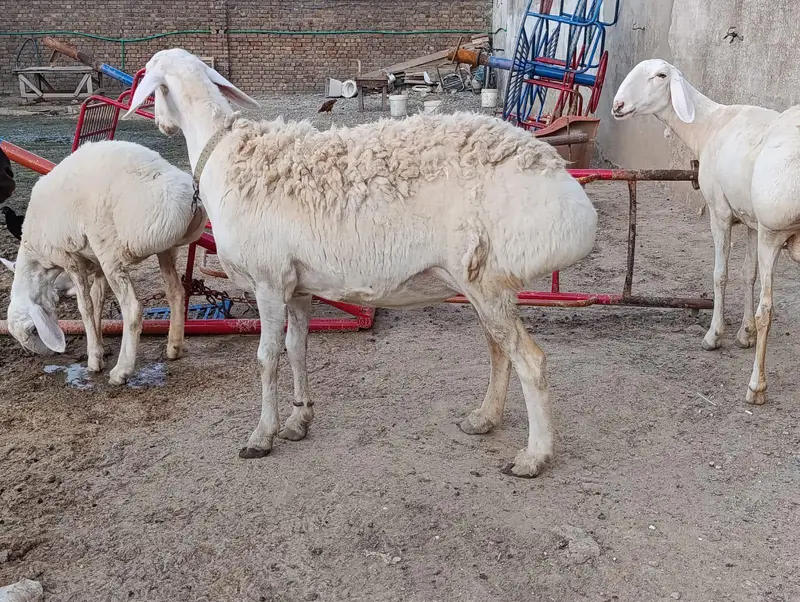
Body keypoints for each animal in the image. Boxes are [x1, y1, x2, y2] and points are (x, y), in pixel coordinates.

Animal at [5, 139, 207, 384]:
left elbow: (85, 307)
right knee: (176, 292)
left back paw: (122, 370)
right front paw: (99, 346)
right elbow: (97, 300)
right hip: (164, 249)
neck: (40, 263)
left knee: (132, 309)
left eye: (33, 331)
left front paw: (94, 360)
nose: (48, 354)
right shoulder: (96, 263)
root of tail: (187, 197)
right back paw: (174, 347)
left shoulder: (71, 259)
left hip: (111, 250)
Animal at [123, 48, 598, 477]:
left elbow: (267, 357)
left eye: (149, 81)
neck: (223, 154)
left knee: (531, 361)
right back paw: (483, 419)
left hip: (489, 278)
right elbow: (297, 349)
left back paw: (533, 456)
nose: (161, 123)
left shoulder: (268, 280)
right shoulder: (297, 285)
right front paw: (299, 419)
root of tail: (568, 191)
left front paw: (262, 435)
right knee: (499, 350)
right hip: (485, 282)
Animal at [611, 59, 781, 357]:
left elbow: (720, 274)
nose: (618, 105)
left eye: (661, 75)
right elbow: (749, 274)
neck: (709, 126)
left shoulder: (720, 212)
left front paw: (714, 335)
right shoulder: (751, 220)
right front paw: (746, 333)